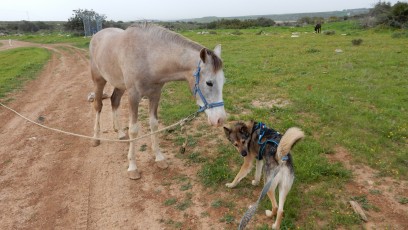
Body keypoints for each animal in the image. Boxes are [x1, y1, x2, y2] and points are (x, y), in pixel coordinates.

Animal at [89, 23, 228, 179]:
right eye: (209, 83)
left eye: (223, 82)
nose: (220, 119)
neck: (148, 57)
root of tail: (97, 35)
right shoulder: (133, 97)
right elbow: (133, 130)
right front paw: (132, 167)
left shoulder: (155, 95)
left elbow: (154, 125)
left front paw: (159, 158)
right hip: (99, 80)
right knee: (98, 106)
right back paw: (95, 138)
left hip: (119, 85)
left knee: (114, 101)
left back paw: (119, 132)